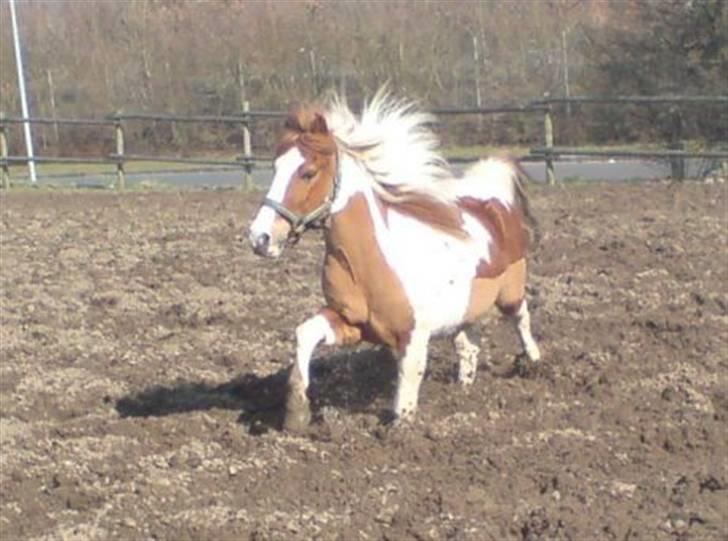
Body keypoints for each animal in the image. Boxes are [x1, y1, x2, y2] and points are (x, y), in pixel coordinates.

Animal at [250, 93, 540, 430]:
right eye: (275, 168)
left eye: (308, 172)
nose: (260, 238)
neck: (373, 263)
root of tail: (493, 195)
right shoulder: (351, 324)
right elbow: (305, 332)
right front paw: (296, 413)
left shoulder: (414, 336)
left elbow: (406, 393)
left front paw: (400, 429)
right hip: (464, 312)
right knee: (469, 346)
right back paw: (463, 388)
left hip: (510, 293)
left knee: (521, 319)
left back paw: (534, 364)